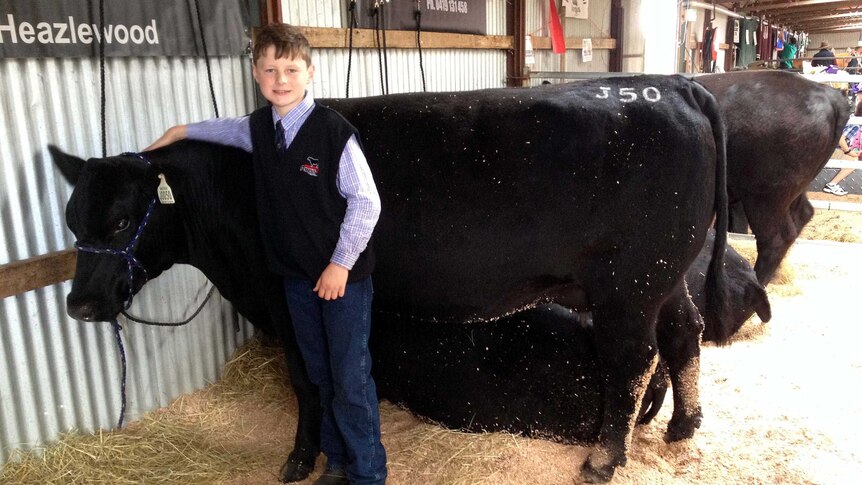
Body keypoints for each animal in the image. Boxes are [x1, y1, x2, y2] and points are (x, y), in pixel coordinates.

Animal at [52, 73, 728, 482]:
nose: (80, 305)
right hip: (663, 277)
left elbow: (309, 384)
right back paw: (681, 426)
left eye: (120, 220)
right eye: (70, 217)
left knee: (633, 357)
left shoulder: (284, 301)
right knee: (684, 332)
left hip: (628, 285)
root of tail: (674, 85)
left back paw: (604, 458)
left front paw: (302, 459)